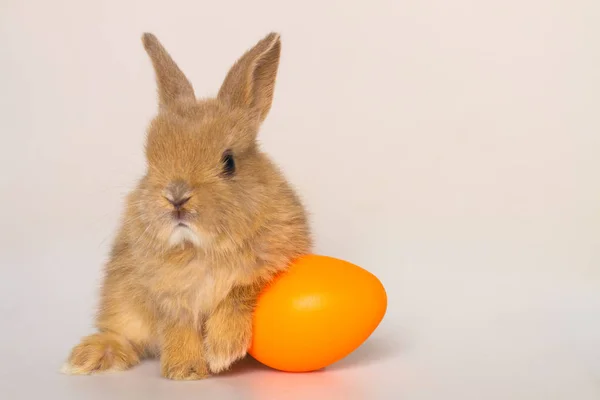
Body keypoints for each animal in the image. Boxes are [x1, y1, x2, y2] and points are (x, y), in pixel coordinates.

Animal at [61, 32, 312, 380]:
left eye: (229, 162)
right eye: (150, 161)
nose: (176, 197)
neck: (200, 248)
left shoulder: (265, 272)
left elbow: (236, 297)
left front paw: (221, 352)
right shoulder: (166, 296)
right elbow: (177, 326)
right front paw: (186, 370)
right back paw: (90, 356)